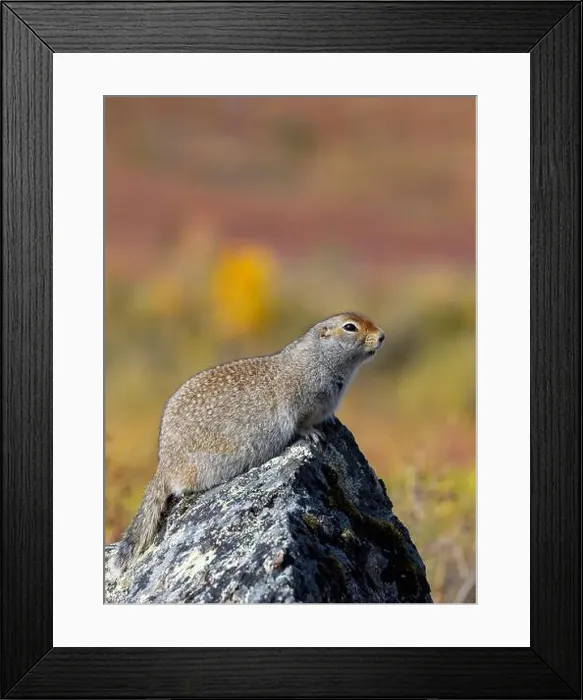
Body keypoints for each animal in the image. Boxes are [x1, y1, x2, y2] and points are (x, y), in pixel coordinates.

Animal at [113, 312, 384, 574]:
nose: (382, 336)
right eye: (350, 327)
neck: (319, 358)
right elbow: (301, 423)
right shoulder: (301, 402)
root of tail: (164, 465)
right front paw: (313, 433)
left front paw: (331, 421)